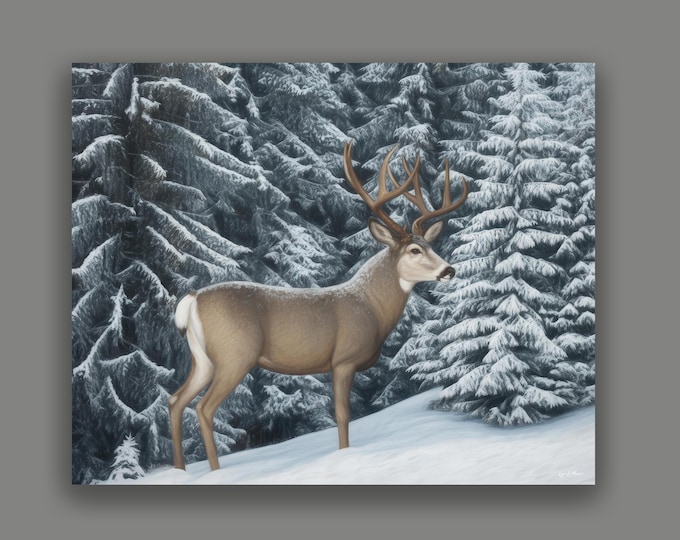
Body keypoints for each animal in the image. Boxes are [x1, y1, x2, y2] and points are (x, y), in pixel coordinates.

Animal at [168, 141, 469, 471]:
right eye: (414, 250)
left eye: (431, 245)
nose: (448, 270)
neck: (370, 307)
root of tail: (192, 299)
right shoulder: (343, 359)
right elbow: (342, 415)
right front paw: (345, 456)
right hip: (234, 354)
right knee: (204, 408)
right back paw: (215, 471)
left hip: (202, 359)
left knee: (175, 400)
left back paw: (181, 470)